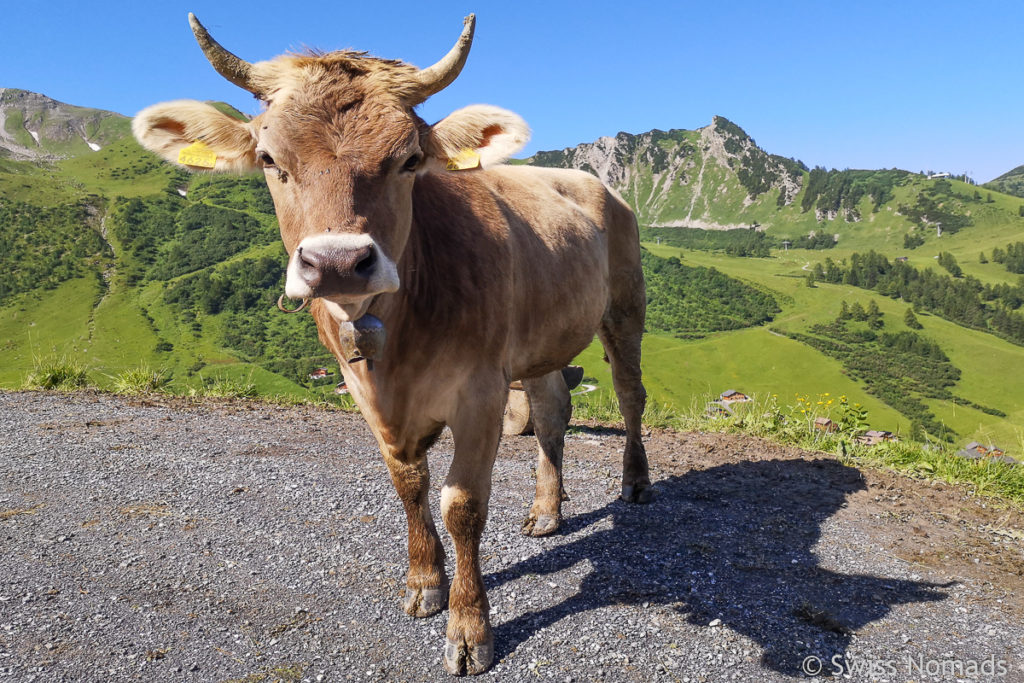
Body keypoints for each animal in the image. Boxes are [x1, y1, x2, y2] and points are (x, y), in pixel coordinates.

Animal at [134, 13, 647, 675]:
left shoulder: (480, 391)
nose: (337, 262)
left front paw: (469, 627)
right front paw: (425, 582)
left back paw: (635, 481)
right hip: (542, 337)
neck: (396, 339)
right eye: (270, 159)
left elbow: (461, 504)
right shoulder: (365, 392)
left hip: (625, 307)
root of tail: (585, 179)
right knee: (553, 411)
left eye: (409, 160)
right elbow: (409, 485)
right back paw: (547, 511)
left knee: (630, 396)